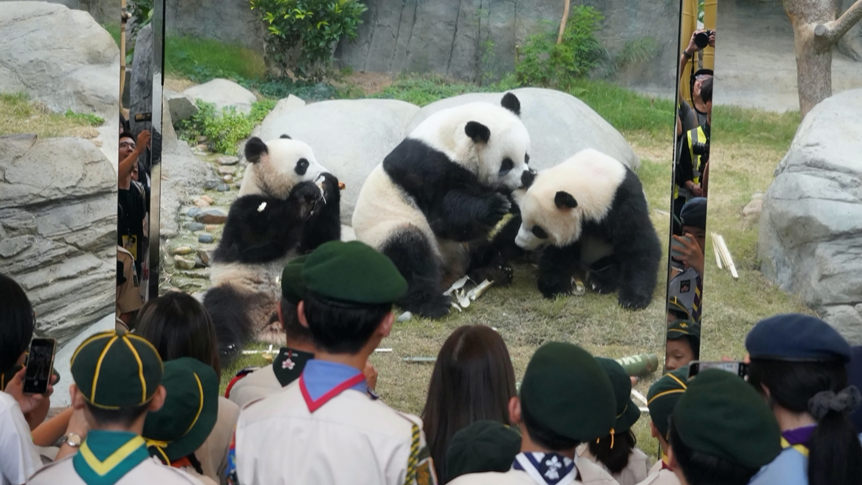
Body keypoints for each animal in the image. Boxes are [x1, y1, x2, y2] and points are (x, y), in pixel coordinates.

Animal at [202, 135, 342, 361]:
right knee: (220, 310)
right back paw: (225, 349)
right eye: (303, 164)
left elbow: (320, 243)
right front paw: (305, 192)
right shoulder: (244, 212)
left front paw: (329, 186)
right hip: (239, 290)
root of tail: (269, 320)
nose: (323, 172)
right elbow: (261, 239)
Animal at [352, 93, 535, 318]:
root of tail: (451, 272)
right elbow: (446, 220)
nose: (526, 177)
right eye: (506, 164)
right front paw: (497, 204)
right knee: (408, 255)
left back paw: (495, 270)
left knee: (478, 249)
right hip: (388, 230)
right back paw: (433, 303)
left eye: (526, 156)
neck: (451, 142)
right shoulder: (427, 172)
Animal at [493, 148, 662, 310]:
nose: (520, 243)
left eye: (538, 230)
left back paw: (601, 281)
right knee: (507, 236)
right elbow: (560, 252)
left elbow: (639, 246)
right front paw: (555, 287)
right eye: (524, 217)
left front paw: (633, 299)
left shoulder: (623, 204)